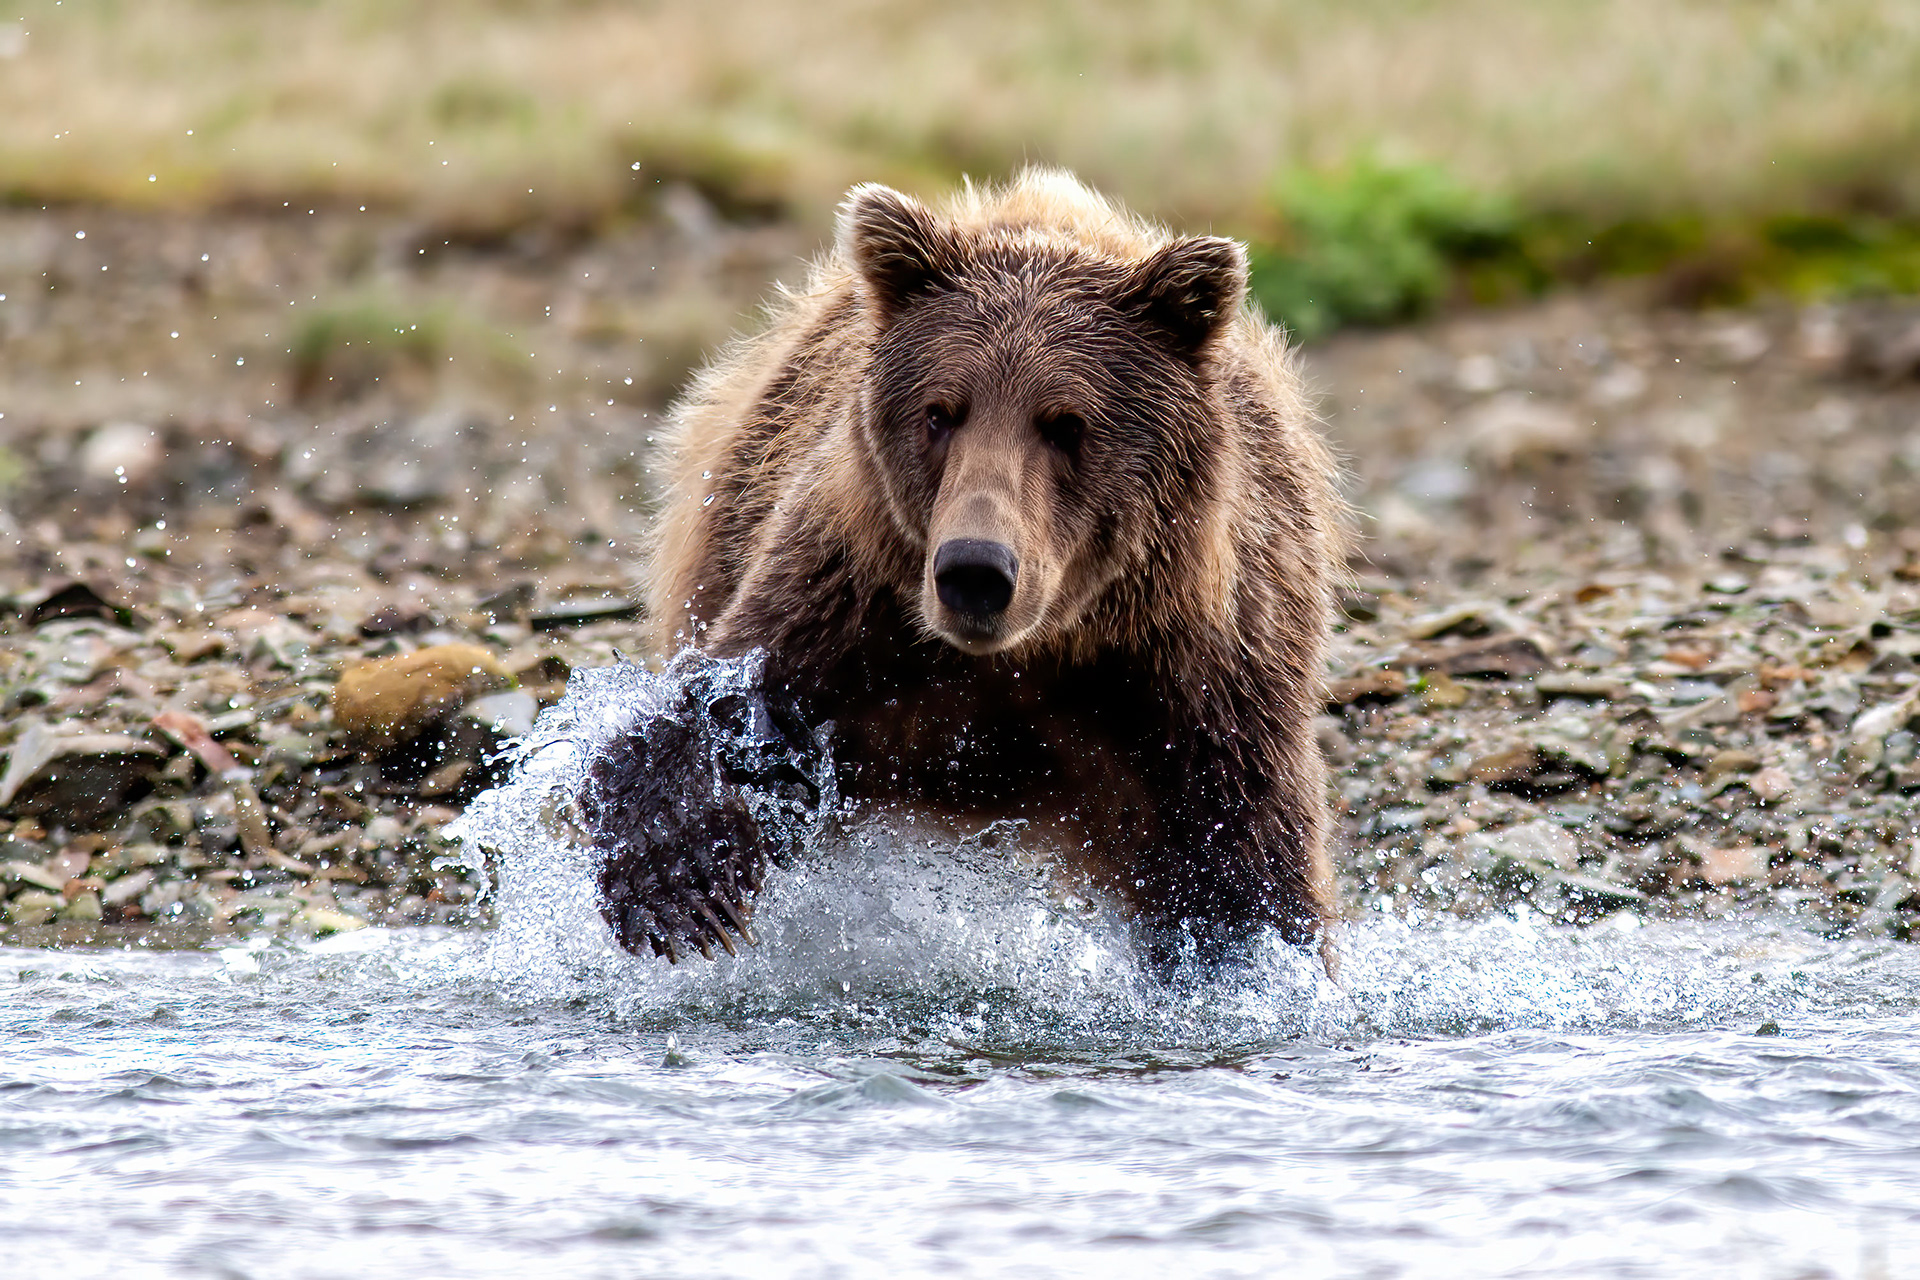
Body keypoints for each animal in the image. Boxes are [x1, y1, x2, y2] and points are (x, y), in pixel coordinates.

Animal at [587, 168, 1348, 965]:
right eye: (940, 411)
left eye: (1067, 424)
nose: (975, 570)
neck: (1036, 651)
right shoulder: (852, 594)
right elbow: (718, 699)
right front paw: (683, 881)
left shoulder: (1199, 676)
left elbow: (1244, 868)